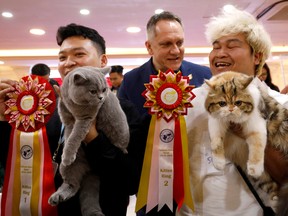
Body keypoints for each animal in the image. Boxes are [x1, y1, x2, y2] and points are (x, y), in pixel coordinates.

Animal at [47, 66, 129, 216]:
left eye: (104, 89)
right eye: (93, 91)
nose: (101, 98)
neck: (72, 104)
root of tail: (89, 170)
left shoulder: (86, 119)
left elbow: (74, 136)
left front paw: (67, 154)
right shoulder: (66, 118)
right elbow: (69, 134)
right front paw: (67, 151)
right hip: (67, 169)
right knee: (72, 184)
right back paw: (57, 197)